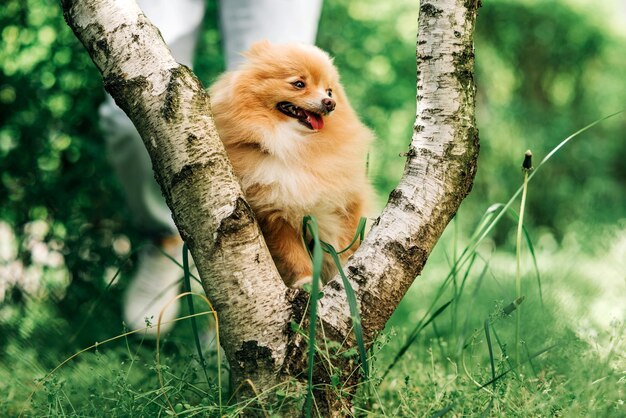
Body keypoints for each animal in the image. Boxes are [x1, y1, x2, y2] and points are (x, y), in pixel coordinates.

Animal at [210, 40, 376, 288]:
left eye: (329, 91)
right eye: (299, 84)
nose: (330, 103)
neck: (295, 146)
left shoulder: (347, 201)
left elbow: (346, 241)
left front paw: (346, 268)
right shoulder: (274, 212)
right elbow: (293, 254)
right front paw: (306, 283)